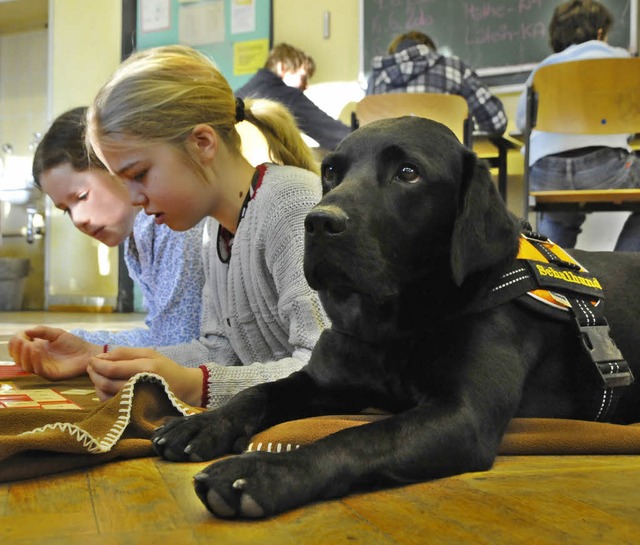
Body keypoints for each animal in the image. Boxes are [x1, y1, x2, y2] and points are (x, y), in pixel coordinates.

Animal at [151, 117, 640, 516]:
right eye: (330, 172)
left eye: (408, 173)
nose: (318, 222)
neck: (393, 324)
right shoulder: (324, 380)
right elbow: (259, 392)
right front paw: (200, 422)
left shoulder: (463, 414)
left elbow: (358, 436)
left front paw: (265, 471)